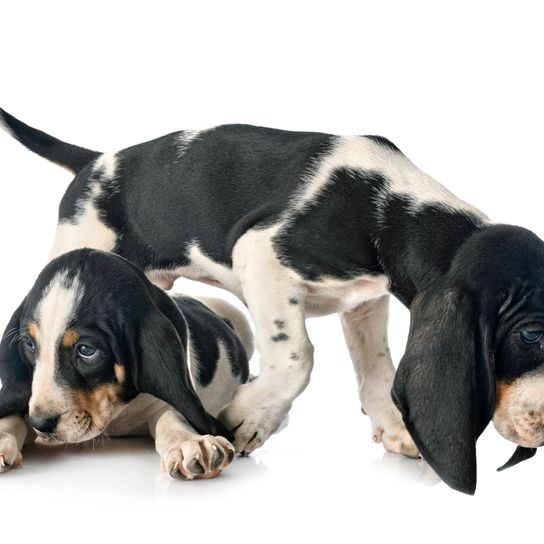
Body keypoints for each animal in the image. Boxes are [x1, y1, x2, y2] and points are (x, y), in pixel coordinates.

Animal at [0, 249, 251, 478]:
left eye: (87, 350)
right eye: (29, 344)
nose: (41, 423)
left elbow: (172, 415)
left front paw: (190, 442)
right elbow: (13, 415)